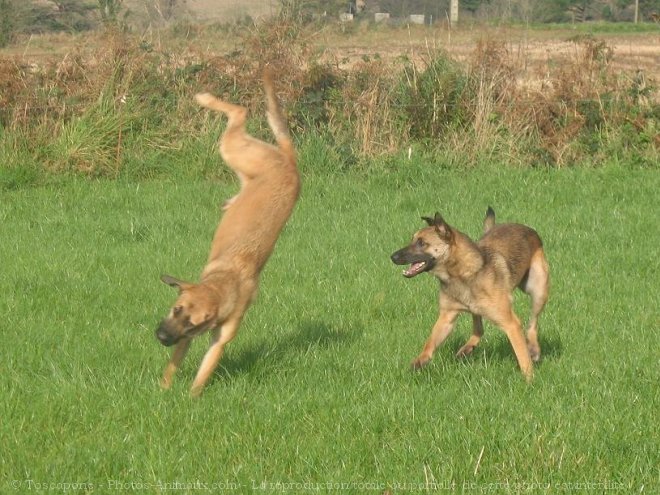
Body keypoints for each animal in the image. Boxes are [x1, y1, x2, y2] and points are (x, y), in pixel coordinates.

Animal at [156, 71, 300, 398]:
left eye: (192, 322)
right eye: (175, 308)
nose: (161, 337)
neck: (223, 283)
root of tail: (290, 160)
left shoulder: (214, 339)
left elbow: (203, 372)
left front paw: (190, 398)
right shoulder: (184, 340)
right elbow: (172, 367)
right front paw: (164, 389)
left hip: (238, 154)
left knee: (239, 114)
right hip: (236, 150)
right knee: (239, 113)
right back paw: (205, 98)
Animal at [390, 207, 548, 382]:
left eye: (422, 243)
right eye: (413, 240)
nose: (393, 257)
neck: (460, 273)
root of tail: (529, 230)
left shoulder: (511, 324)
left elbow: (522, 356)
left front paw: (529, 380)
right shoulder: (447, 317)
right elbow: (431, 341)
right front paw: (421, 360)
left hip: (538, 289)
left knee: (533, 323)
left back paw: (534, 349)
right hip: (477, 307)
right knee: (478, 329)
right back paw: (468, 347)